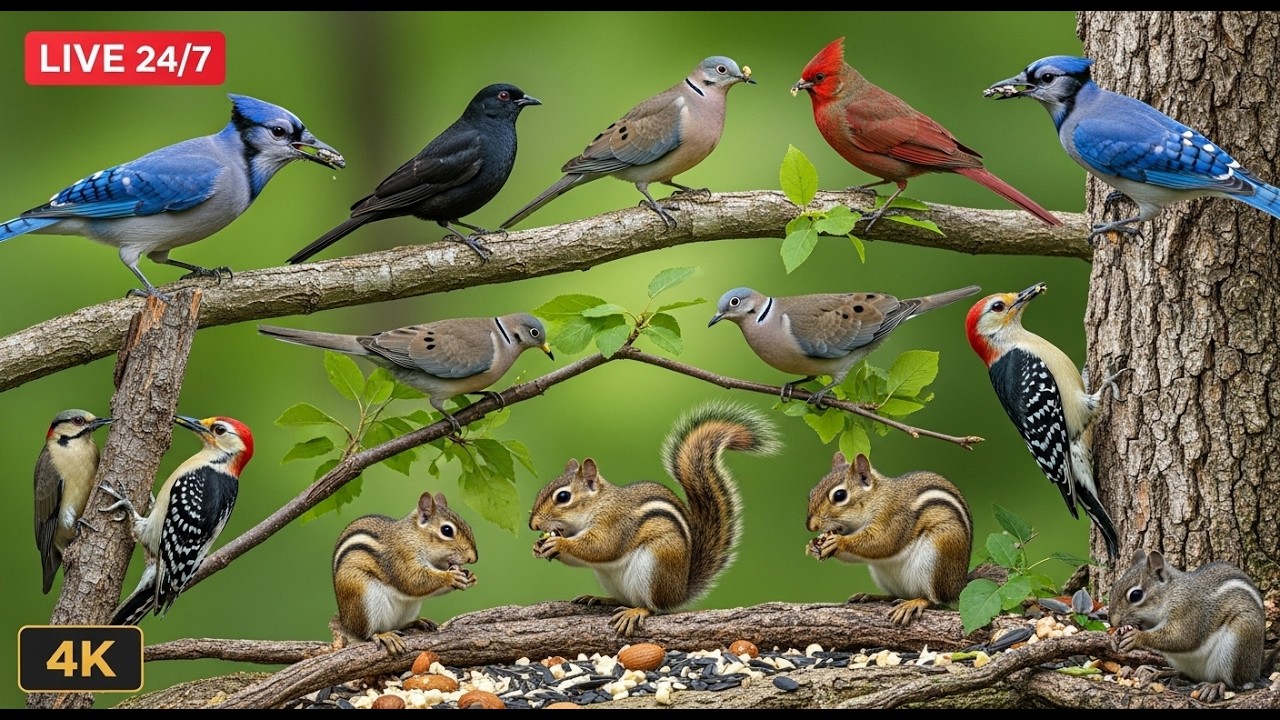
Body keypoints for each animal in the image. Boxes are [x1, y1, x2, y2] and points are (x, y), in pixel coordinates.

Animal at [330, 491, 478, 655]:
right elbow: (412, 580)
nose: (473, 558)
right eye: (447, 530)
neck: (414, 537)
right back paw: (383, 635)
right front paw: (450, 577)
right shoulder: (401, 556)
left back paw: (417, 622)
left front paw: (471, 577)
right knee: (365, 635)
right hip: (362, 597)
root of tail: (346, 624)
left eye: (468, 526)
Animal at [529, 400, 780, 638]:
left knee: (654, 606)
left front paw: (558, 543)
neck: (597, 505)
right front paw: (539, 547)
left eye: (563, 497)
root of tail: (679, 592)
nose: (533, 525)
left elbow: (602, 547)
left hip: (656, 565)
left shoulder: (616, 523)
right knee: (626, 600)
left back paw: (637, 611)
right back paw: (602, 599)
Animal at [805, 451, 979, 627]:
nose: (811, 526)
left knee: (935, 600)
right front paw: (812, 546)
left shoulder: (892, 517)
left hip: (938, 557)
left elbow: (883, 542)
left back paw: (914, 603)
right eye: (811, 493)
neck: (876, 498)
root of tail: (959, 585)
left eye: (840, 495)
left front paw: (838, 541)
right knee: (896, 595)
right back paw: (872, 597)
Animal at [1108, 549, 1275, 703]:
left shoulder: (1189, 611)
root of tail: (1256, 669)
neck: (1170, 593)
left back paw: (1214, 686)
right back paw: (1159, 673)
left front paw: (1136, 637)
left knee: (1235, 682)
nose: (1113, 621)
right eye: (1115, 586)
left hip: (1239, 640)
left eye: (1136, 595)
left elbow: (1182, 638)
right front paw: (1120, 632)